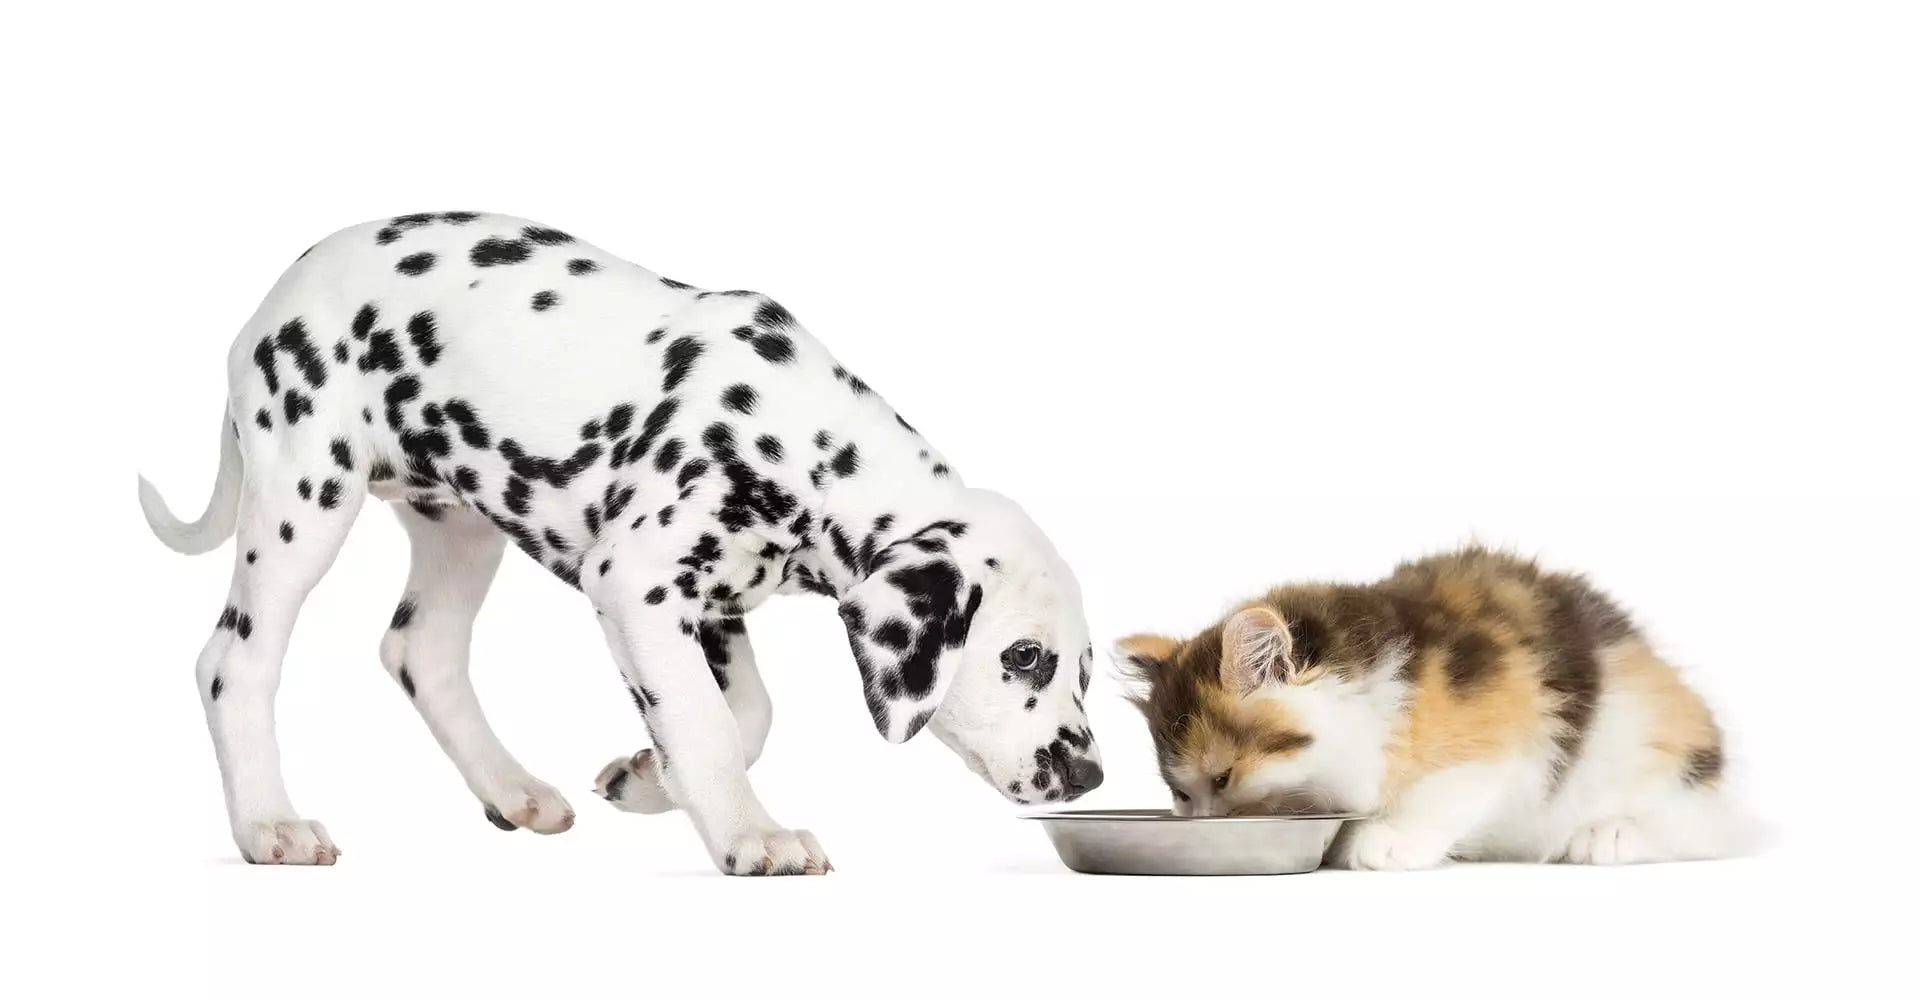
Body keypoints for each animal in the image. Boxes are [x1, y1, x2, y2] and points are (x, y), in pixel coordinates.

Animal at [135, 212, 1105, 875]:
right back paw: (269, 823)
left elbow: (742, 716)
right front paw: (751, 835)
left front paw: (650, 780)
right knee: (233, 663)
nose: (1089, 776)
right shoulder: (635, 585)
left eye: (1087, 668)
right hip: (303, 502)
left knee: (421, 651)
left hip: (460, 529)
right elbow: (709, 725)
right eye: (1024, 656)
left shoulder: (711, 606)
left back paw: (513, 791)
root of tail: (273, 298)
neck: (801, 439)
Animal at [1121, 545, 1735, 863]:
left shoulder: (1499, 728)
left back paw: (1608, 836)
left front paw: (1384, 842)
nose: (1200, 822)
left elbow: (1447, 789)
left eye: (1222, 778)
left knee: (1698, 828)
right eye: (1181, 794)